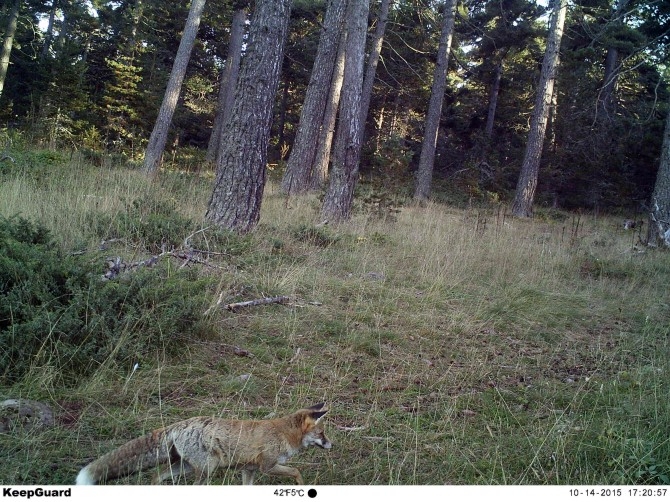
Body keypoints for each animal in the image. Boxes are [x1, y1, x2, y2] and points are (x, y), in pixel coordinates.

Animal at [76, 402, 334, 484]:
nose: (331, 445)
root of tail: (180, 423)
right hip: (207, 470)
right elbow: (296, 471)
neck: (283, 433)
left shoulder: (248, 470)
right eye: (322, 433)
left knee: (156, 476)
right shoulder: (267, 466)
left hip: (185, 467)